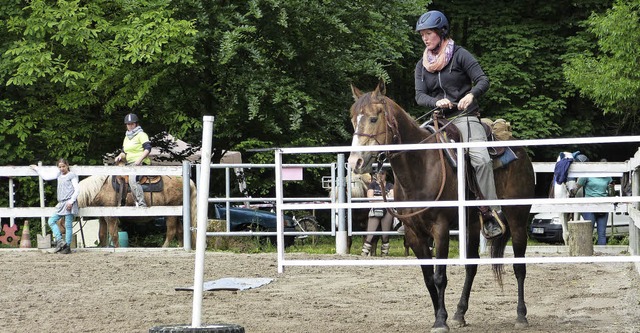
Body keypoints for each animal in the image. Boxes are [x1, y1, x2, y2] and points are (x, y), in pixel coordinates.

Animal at [344, 81, 536, 332]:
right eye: (352, 119)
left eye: (374, 118)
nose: (355, 162)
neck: (421, 167)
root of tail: (520, 152)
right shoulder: (414, 234)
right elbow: (428, 277)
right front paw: (440, 316)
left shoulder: (440, 229)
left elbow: (439, 276)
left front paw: (441, 320)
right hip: (473, 224)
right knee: (471, 266)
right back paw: (460, 313)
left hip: (517, 220)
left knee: (519, 266)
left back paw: (521, 315)